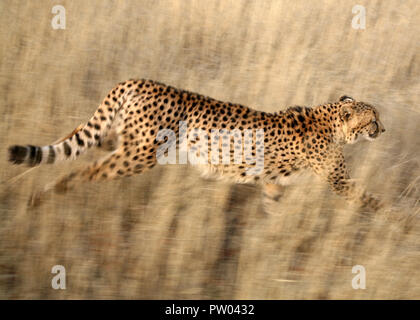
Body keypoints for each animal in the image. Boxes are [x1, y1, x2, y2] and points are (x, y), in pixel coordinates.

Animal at [8, 79, 386, 210]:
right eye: (373, 118)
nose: (383, 129)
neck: (331, 120)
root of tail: (139, 80)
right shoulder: (338, 180)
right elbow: (369, 199)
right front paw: (396, 222)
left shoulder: (273, 182)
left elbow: (271, 204)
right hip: (139, 154)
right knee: (87, 170)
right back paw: (48, 192)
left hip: (115, 136)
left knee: (69, 142)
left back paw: (19, 183)